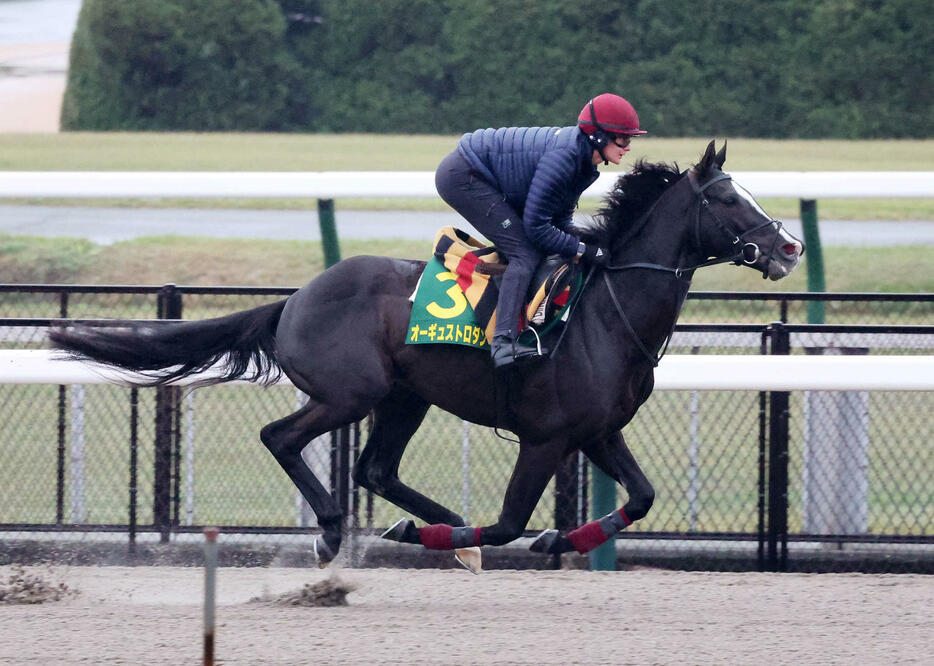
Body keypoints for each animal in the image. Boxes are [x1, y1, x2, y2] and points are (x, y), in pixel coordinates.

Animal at [47, 143, 804, 564]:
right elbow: (507, 523)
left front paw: (558, 541)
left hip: (403, 396)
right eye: (729, 199)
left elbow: (642, 498)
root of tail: (295, 298)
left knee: (376, 469)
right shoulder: (549, 437)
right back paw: (339, 531)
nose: (790, 246)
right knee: (283, 438)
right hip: (350, 392)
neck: (603, 313)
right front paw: (507, 538)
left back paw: (432, 519)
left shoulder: (597, 430)